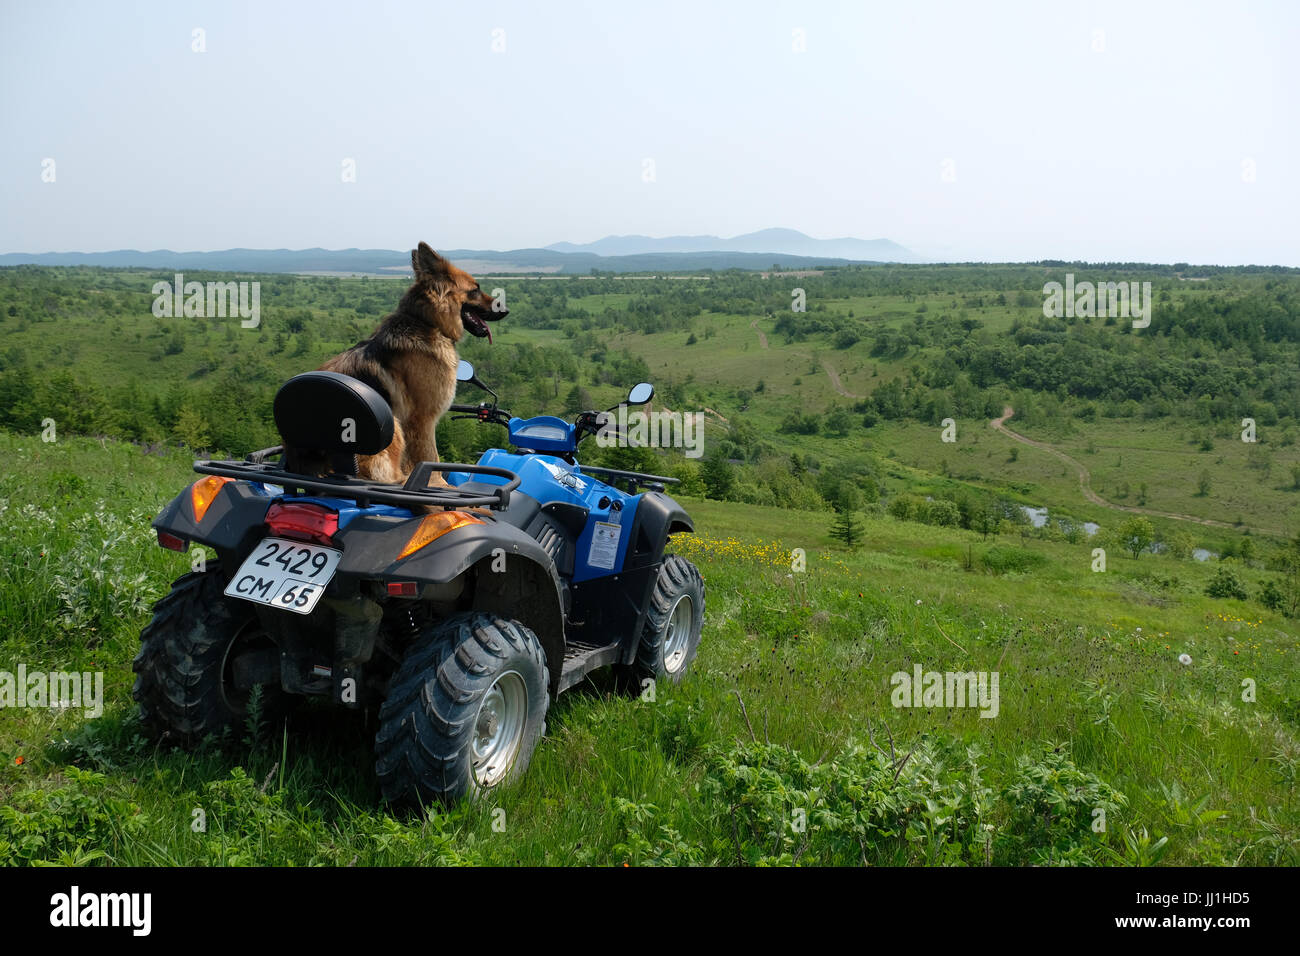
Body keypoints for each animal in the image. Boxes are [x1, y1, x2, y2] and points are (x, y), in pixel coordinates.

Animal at [284, 244, 501, 486]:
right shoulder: (422, 421)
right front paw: (438, 485)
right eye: (475, 289)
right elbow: (430, 458)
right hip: (392, 427)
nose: (506, 310)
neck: (425, 322)